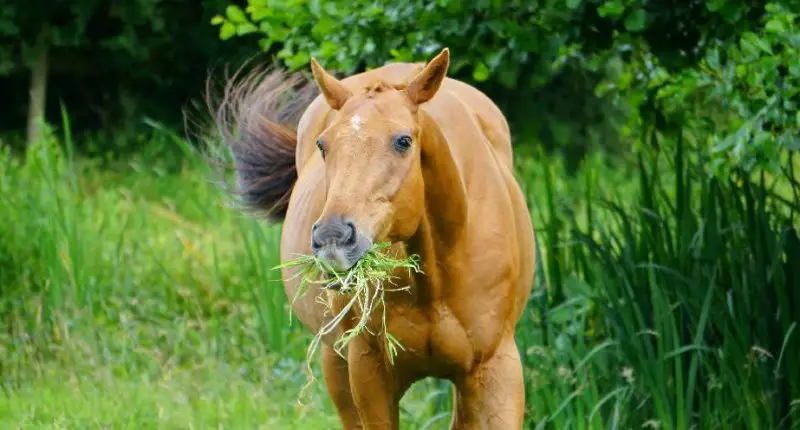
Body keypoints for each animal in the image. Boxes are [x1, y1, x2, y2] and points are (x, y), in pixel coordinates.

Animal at [213, 48, 536, 429]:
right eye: (323, 145)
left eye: (403, 141)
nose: (333, 237)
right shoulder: (369, 374)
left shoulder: (495, 372)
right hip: (335, 363)